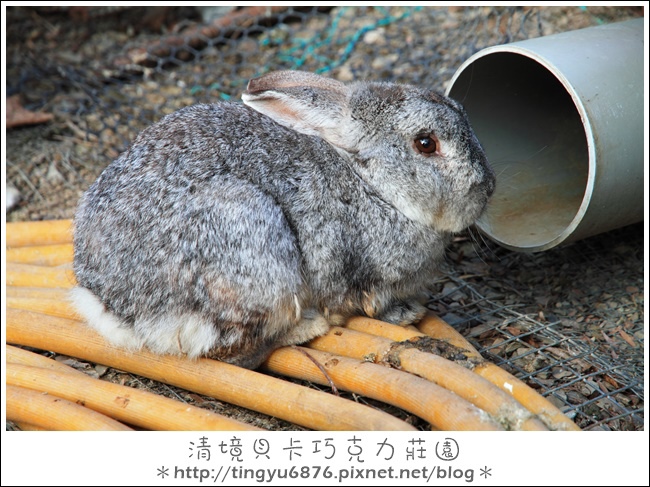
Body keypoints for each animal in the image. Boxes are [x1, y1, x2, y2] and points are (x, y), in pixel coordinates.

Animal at [71, 70, 494, 368]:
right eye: (426, 144)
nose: (486, 187)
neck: (373, 185)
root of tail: (115, 305)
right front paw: (408, 313)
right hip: (253, 243)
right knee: (234, 353)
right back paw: (309, 327)